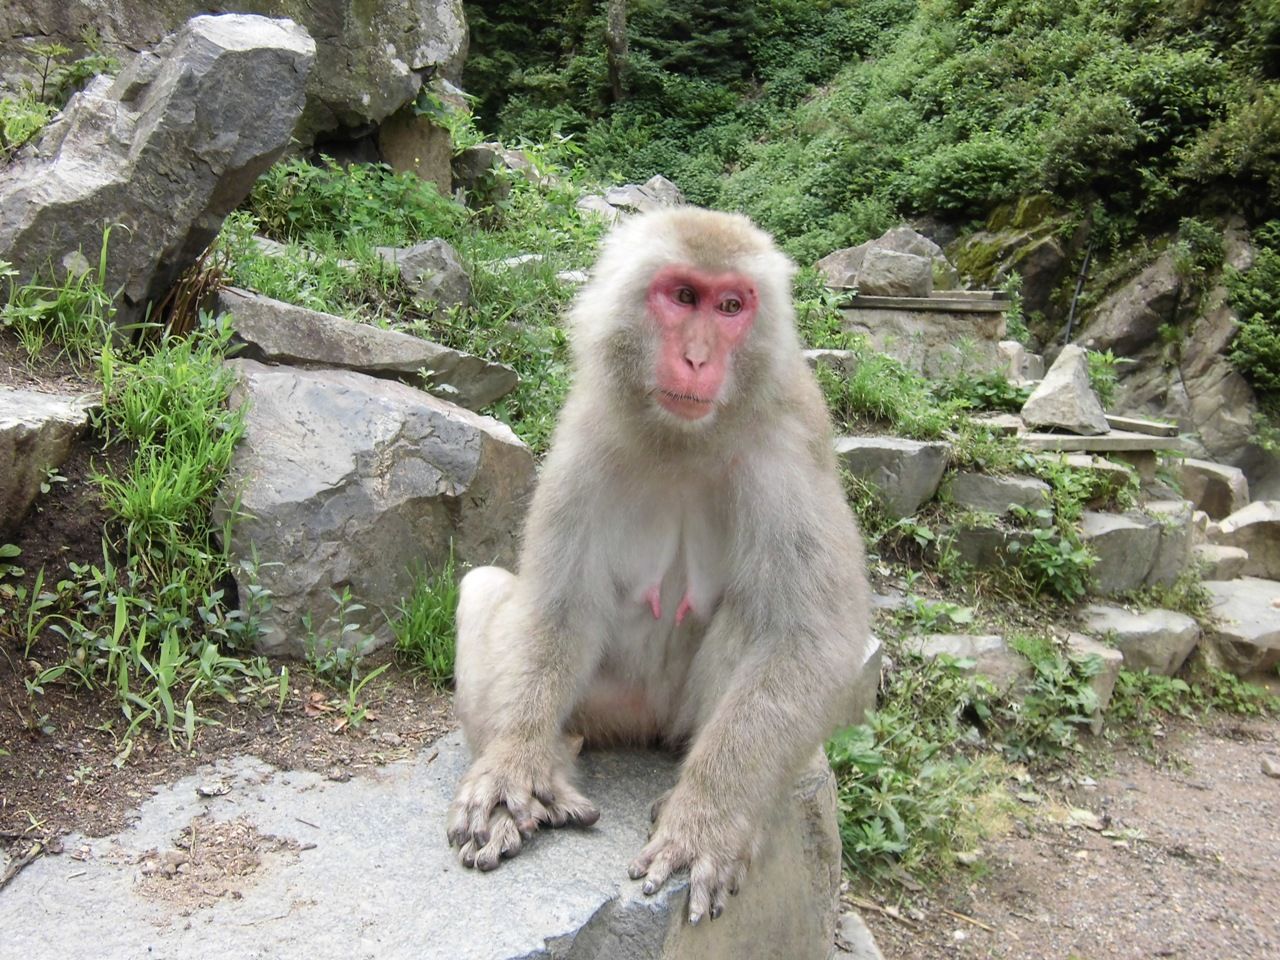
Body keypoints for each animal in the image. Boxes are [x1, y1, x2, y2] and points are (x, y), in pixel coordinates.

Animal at [447, 206, 870, 925]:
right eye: (682, 296)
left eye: (730, 306)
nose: (698, 358)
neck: (682, 441)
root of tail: (646, 724)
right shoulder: (586, 436)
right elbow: (555, 606)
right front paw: (511, 769)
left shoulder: (789, 450)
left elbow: (811, 636)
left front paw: (707, 823)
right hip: (607, 701)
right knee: (482, 589)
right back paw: (550, 769)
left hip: (683, 716)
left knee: (755, 624)